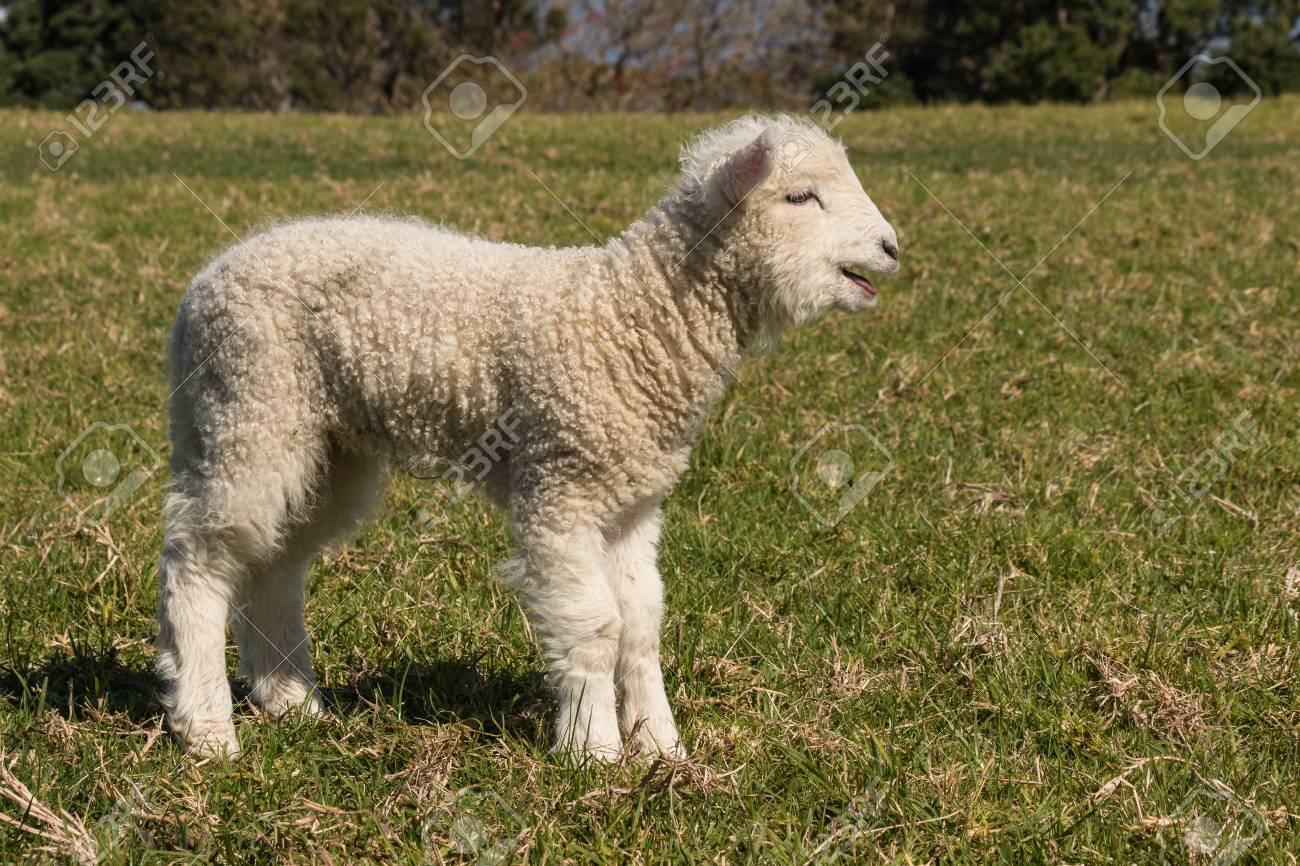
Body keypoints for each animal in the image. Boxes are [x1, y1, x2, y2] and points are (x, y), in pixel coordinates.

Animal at [156, 114, 900, 761]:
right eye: (800, 196)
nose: (892, 248)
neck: (635, 317)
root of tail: (199, 287)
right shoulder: (560, 486)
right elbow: (595, 627)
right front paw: (593, 752)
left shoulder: (631, 501)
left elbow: (641, 626)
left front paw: (663, 748)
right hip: (249, 408)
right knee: (198, 558)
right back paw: (207, 728)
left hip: (322, 445)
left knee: (275, 565)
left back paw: (292, 702)